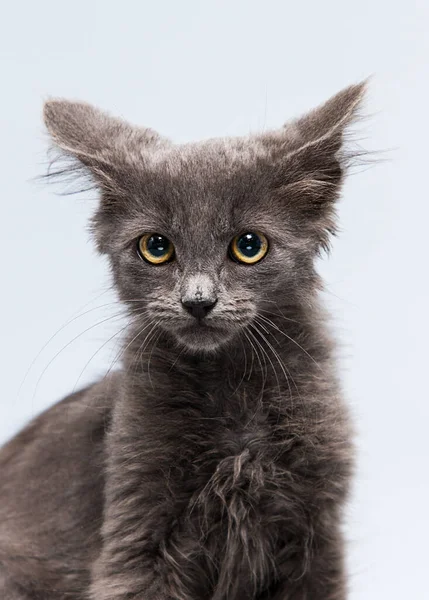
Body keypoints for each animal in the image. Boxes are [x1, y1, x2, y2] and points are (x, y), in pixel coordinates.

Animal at [0, 81, 366, 600]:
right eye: (156, 247)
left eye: (249, 246)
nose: (197, 301)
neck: (231, 392)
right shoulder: (138, 526)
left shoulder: (316, 533)